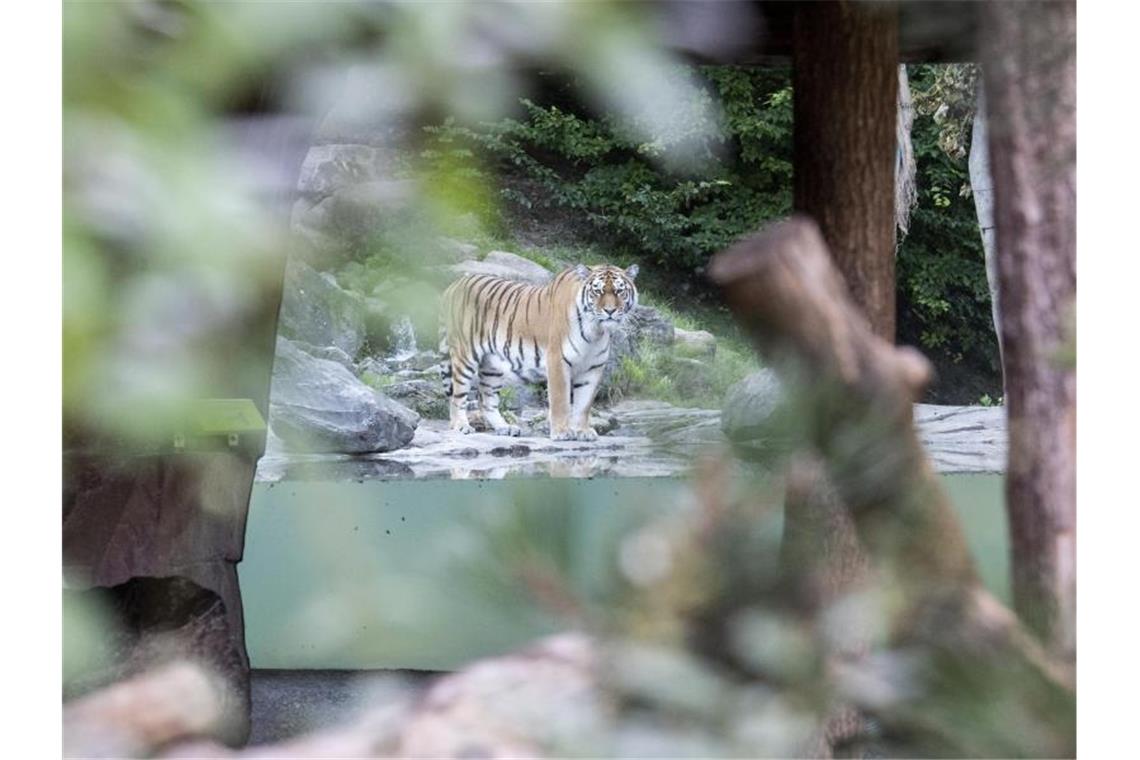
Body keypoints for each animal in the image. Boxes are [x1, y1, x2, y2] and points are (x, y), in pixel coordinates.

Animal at [437, 263, 638, 439]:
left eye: (619, 291)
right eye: (597, 291)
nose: (610, 311)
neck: (596, 330)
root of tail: (453, 286)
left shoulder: (593, 368)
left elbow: (583, 405)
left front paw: (582, 432)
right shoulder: (557, 360)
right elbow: (560, 400)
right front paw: (562, 433)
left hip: (492, 366)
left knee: (486, 400)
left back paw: (505, 428)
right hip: (465, 356)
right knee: (457, 396)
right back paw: (461, 426)